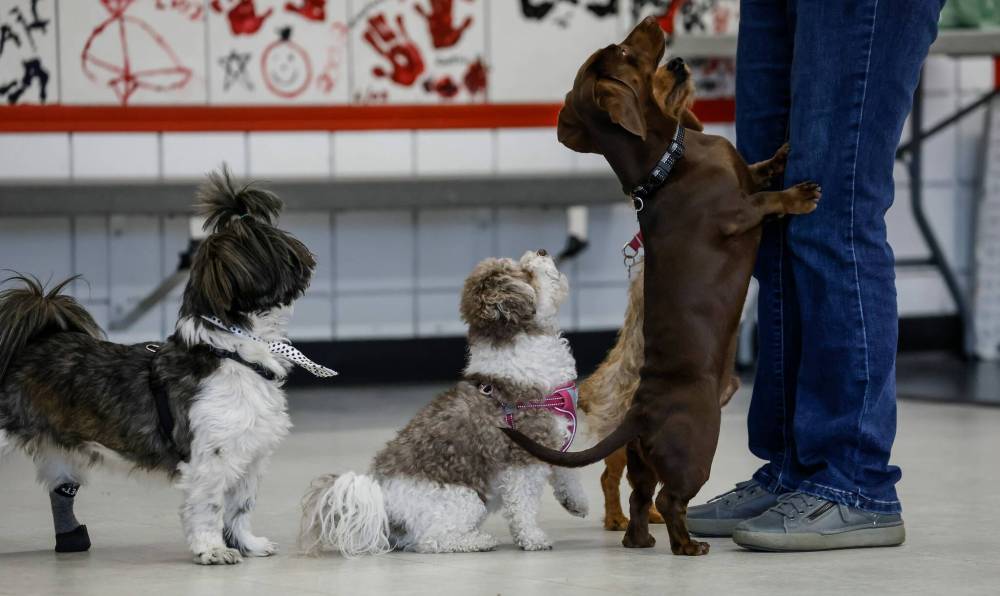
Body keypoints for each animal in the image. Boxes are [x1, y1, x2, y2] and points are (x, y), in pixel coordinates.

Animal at [0, 168, 335, 564]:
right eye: (273, 241)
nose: (306, 251)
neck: (232, 353)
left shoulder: (249, 456)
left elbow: (240, 507)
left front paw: (246, 544)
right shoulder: (211, 458)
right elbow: (208, 507)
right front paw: (212, 550)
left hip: (59, 452)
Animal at [301, 250, 589, 556]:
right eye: (526, 272)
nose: (543, 251)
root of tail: (382, 503)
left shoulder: (555, 438)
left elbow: (567, 471)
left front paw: (577, 501)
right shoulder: (524, 457)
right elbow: (523, 505)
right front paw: (533, 537)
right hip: (465, 499)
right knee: (432, 540)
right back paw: (477, 541)